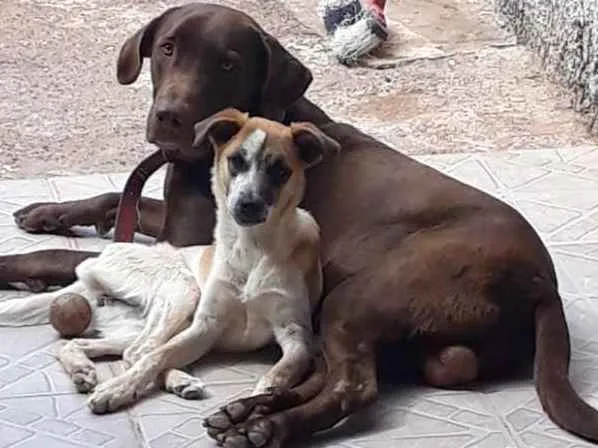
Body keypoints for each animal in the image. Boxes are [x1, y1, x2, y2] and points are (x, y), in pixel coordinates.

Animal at [0, 108, 340, 412]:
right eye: (236, 161)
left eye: (280, 171)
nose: (247, 205)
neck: (250, 248)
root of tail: (94, 265)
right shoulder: (206, 325)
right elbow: (157, 356)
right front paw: (118, 390)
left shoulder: (295, 333)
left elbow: (284, 369)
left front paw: (263, 396)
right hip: (181, 292)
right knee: (141, 351)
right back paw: (160, 379)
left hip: (145, 319)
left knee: (91, 346)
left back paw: (101, 371)